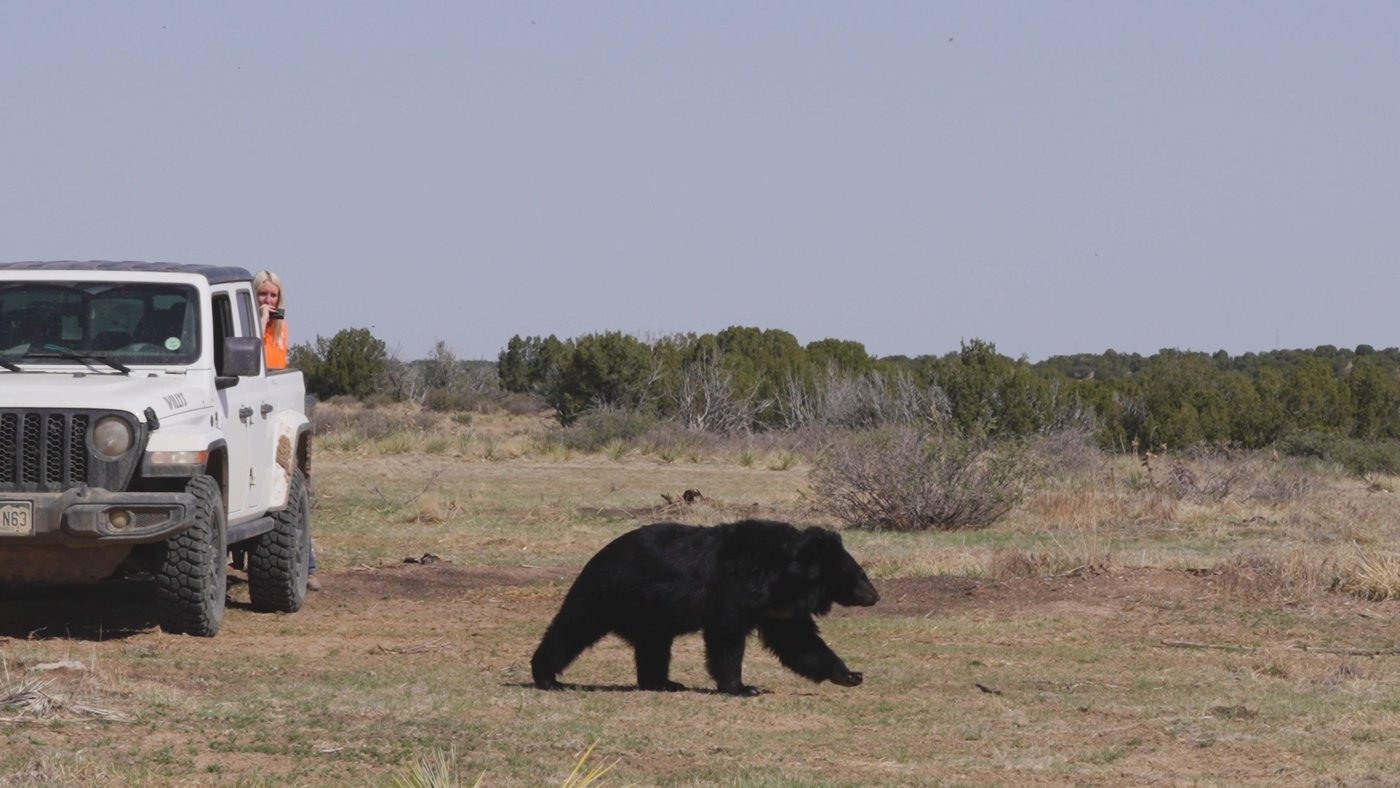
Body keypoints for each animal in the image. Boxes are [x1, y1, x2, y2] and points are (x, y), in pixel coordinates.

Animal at [529, 517, 879, 697]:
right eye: (859, 575)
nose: (875, 596)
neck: (784, 576)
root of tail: (596, 557)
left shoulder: (777, 608)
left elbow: (798, 642)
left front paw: (850, 675)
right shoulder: (735, 589)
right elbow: (727, 637)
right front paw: (743, 687)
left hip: (650, 614)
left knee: (654, 647)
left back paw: (664, 683)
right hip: (606, 594)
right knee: (573, 628)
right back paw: (547, 678)